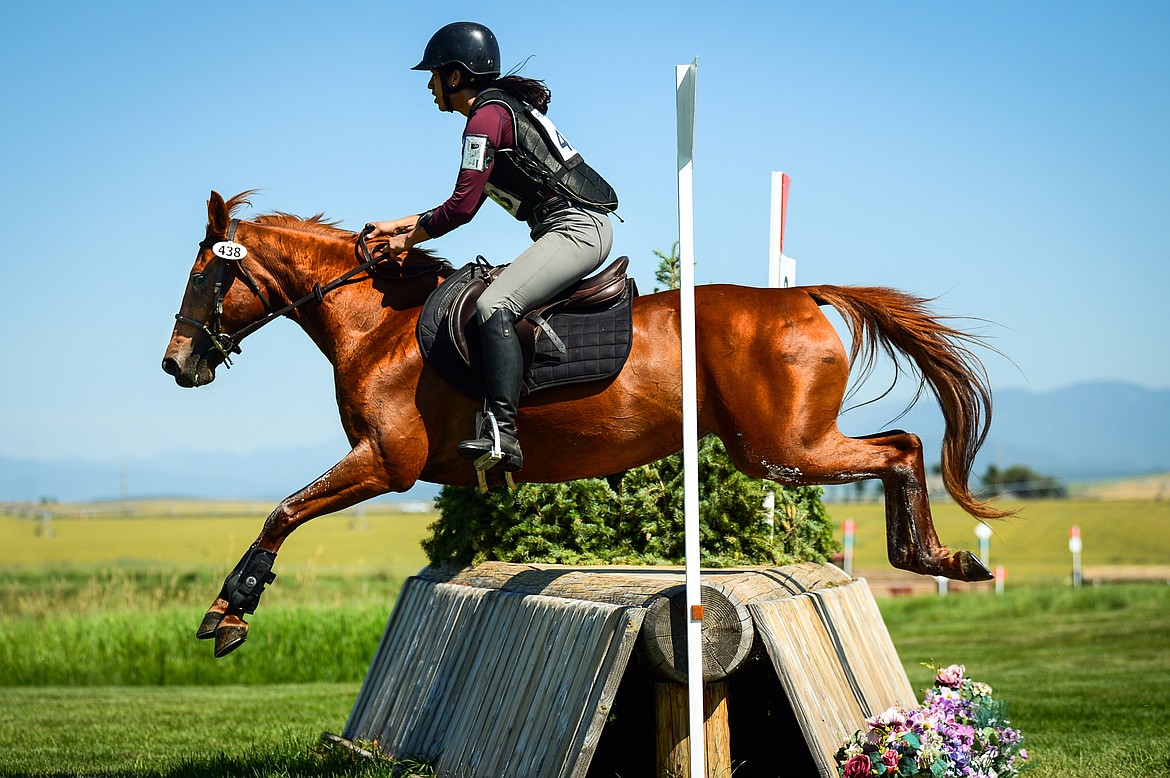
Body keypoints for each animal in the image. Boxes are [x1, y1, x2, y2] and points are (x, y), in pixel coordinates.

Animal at [162, 189, 1006, 655]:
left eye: (204, 276)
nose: (176, 365)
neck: (380, 323)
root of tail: (801, 295)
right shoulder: (384, 464)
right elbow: (288, 510)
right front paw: (228, 612)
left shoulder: (384, 462)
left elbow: (283, 511)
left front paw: (227, 615)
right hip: (777, 447)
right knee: (902, 443)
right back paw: (938, 558)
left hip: (780, 448)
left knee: (902, 446)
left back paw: (935, 558)